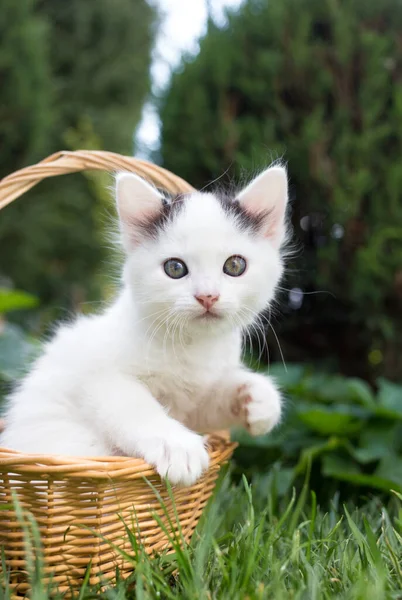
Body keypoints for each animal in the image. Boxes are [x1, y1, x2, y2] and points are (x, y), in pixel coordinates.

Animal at [0, 165, 288, 488]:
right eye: (175, 268)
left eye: (235, 266)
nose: (207, 296)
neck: (192, 346)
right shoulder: (102, 378)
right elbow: (137, 407)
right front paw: (178, 447)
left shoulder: (194, 402)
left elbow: (211, 402)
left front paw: (259, 400)